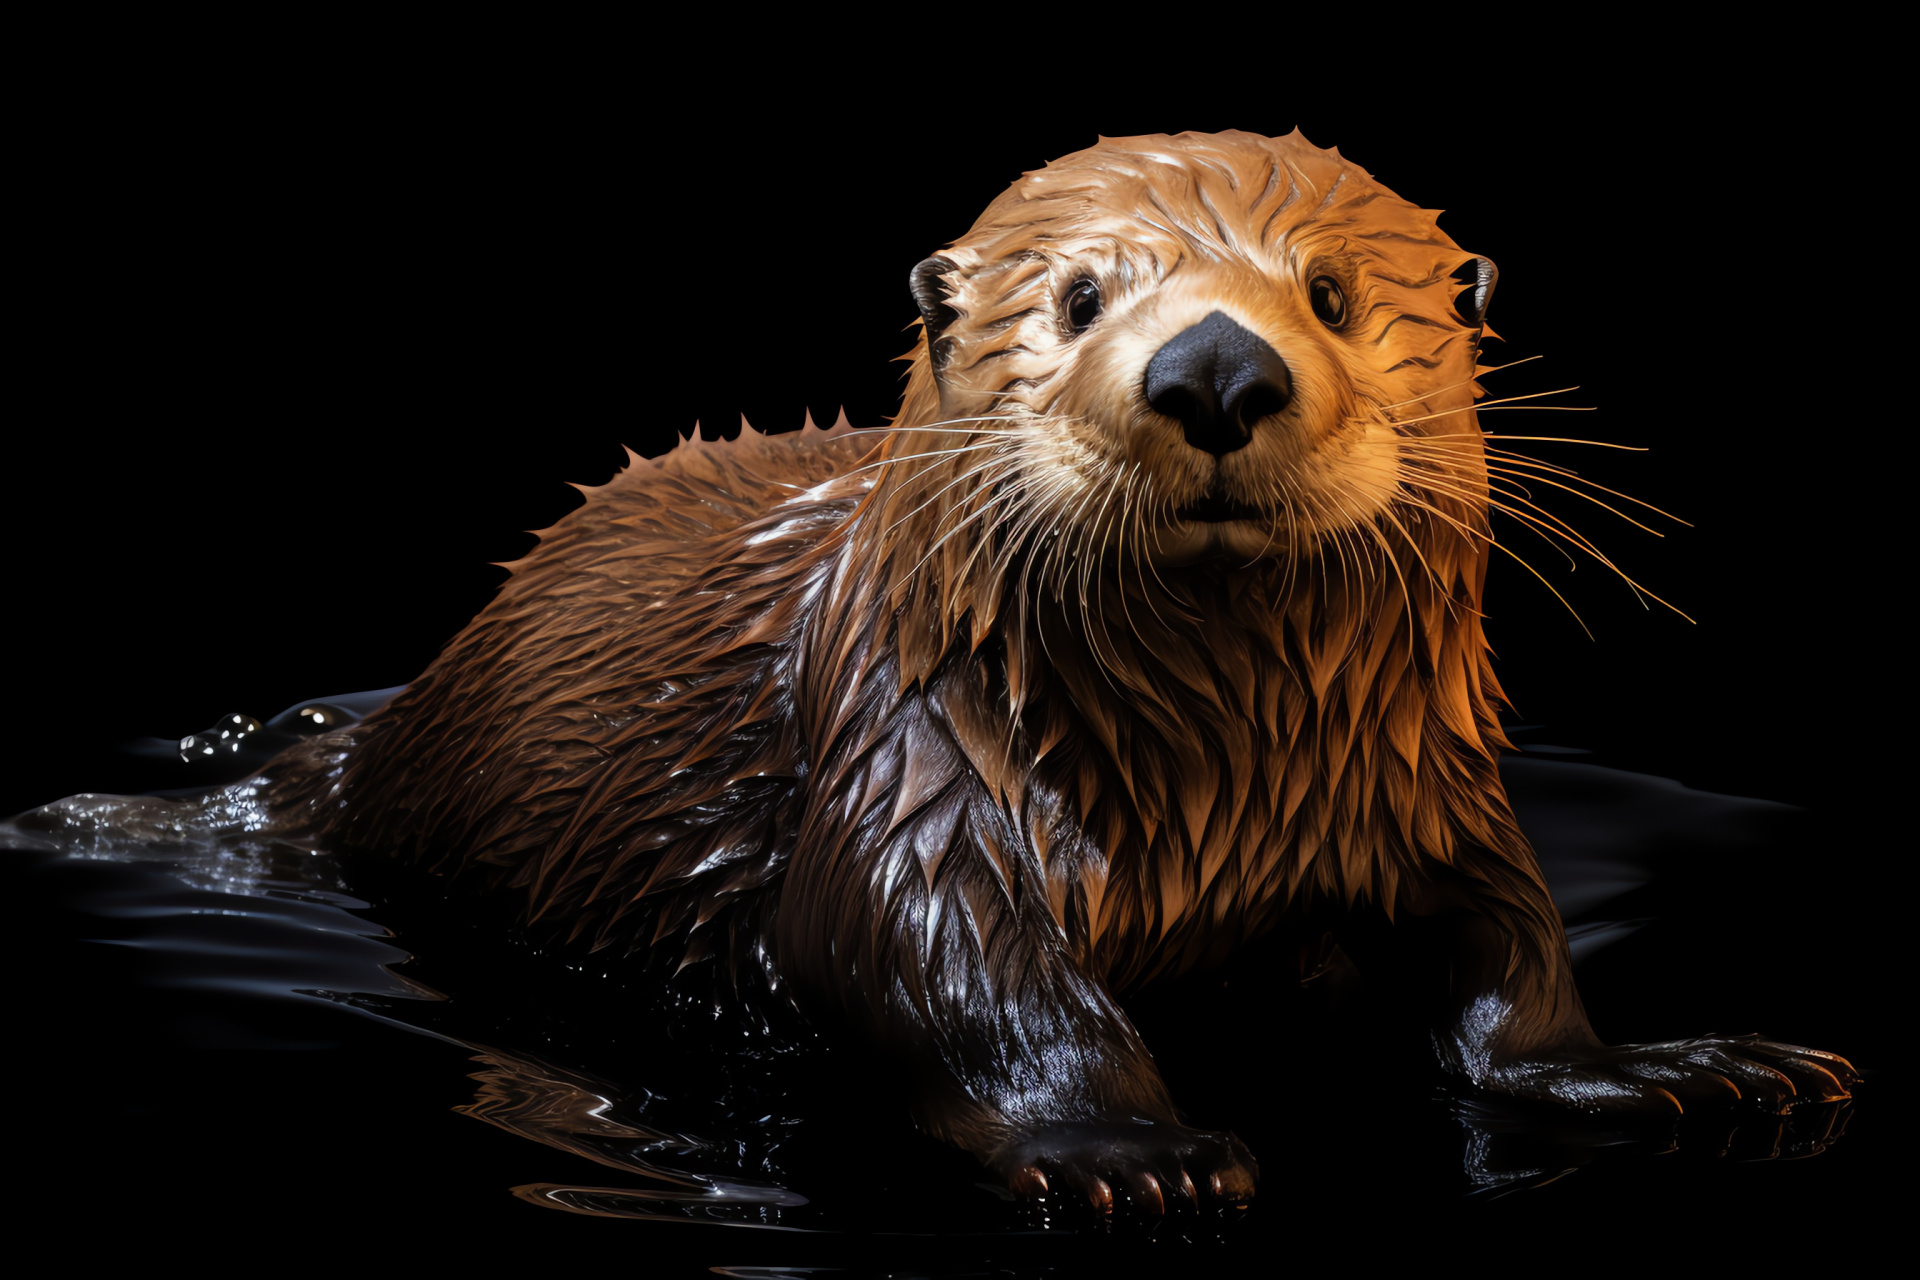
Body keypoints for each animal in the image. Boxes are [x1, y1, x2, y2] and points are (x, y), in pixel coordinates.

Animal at [251, 132, 1843, 1220]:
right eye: (1081, 296)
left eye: (1330, 295)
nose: (1217, 369)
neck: (1225, 783)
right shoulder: (913, 776)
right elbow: (950, 969)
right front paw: (1129, 1149)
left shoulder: (1418, 791)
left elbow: (1512, 958)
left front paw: (1681, 1067)